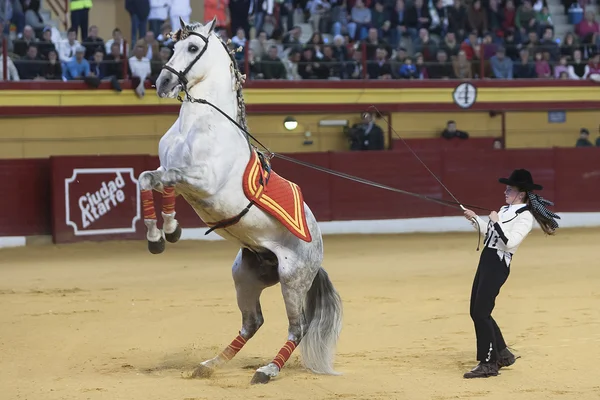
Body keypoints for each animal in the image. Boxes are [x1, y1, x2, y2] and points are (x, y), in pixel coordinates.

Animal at [137, 18, 342, 384]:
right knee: (252, 322)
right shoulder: (171, 170)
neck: (201, 123)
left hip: (292, 279)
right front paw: (164, 233)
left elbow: (159, 180)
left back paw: (267, 370)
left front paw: (162, 233)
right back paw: (211, 364)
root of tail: (318, 254)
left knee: (297, 327)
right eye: (172, 46)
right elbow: (150, 180)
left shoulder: (201, 181)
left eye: (192, 47)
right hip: (244, 275)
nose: (163, 83)